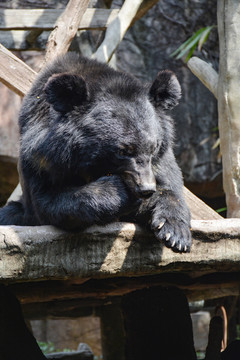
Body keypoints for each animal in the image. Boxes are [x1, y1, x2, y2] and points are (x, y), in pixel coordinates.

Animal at [0, 52, 191, 253]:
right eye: (123, 151)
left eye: (153, 147)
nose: (146, 189)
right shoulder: (43, 158)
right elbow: (48, 201)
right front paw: (118, 191)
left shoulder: (161, 159)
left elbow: (169, 186)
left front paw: (175, 234)